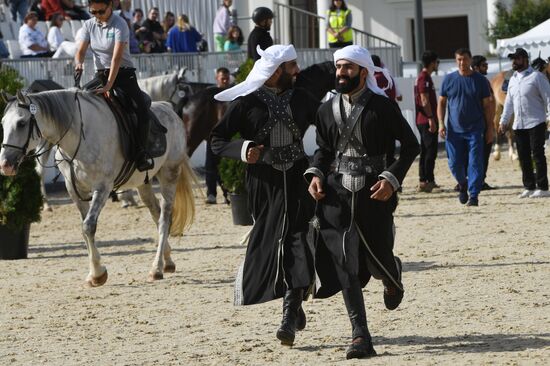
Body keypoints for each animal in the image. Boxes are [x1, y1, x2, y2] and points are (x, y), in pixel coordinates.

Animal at [0, 89, 198, 286]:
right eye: (3, 123)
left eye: (21, 123)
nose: (5, 164)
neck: (79, 136)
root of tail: (169, 108)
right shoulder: (75, 191)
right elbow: (84, 228)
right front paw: (94, 274)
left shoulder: (102, 188)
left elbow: (88, 226)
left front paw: (98, 274)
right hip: (144, 184)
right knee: (156, 214)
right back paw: (168, 261)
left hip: (169, 174)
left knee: (165, 219)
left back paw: (156, 269)